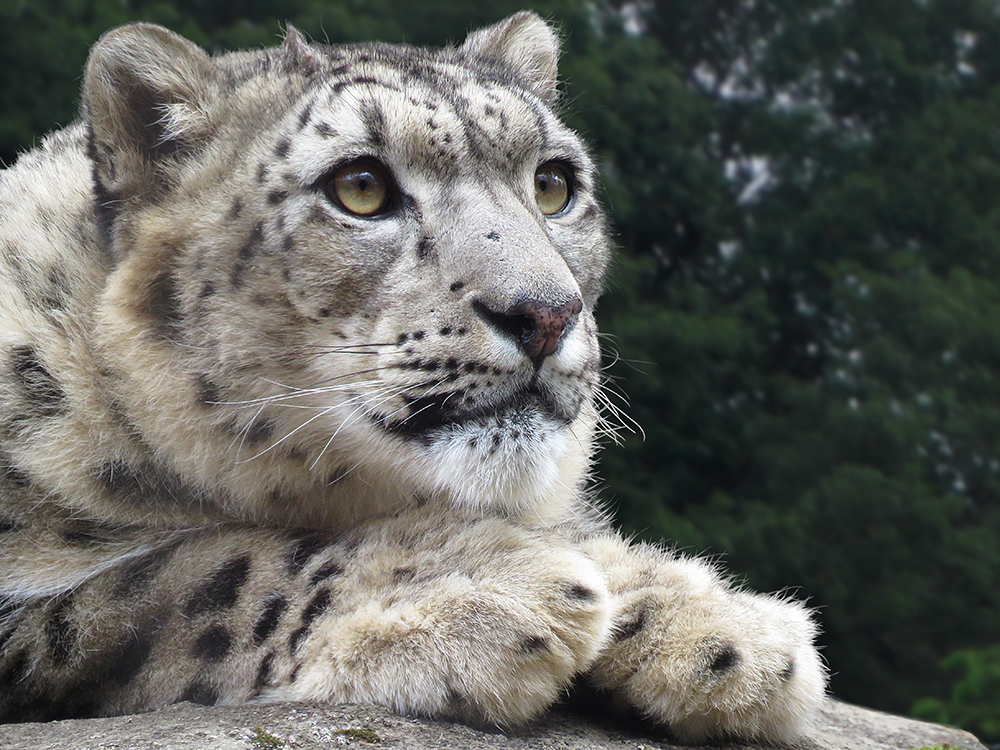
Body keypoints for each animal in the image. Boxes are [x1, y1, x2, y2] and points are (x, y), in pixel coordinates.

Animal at [0, 13, 828, 748]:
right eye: (360, 186)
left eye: (553, 183)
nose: (546, 313)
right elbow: (179, 578)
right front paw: (473, 584)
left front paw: (722, 628)